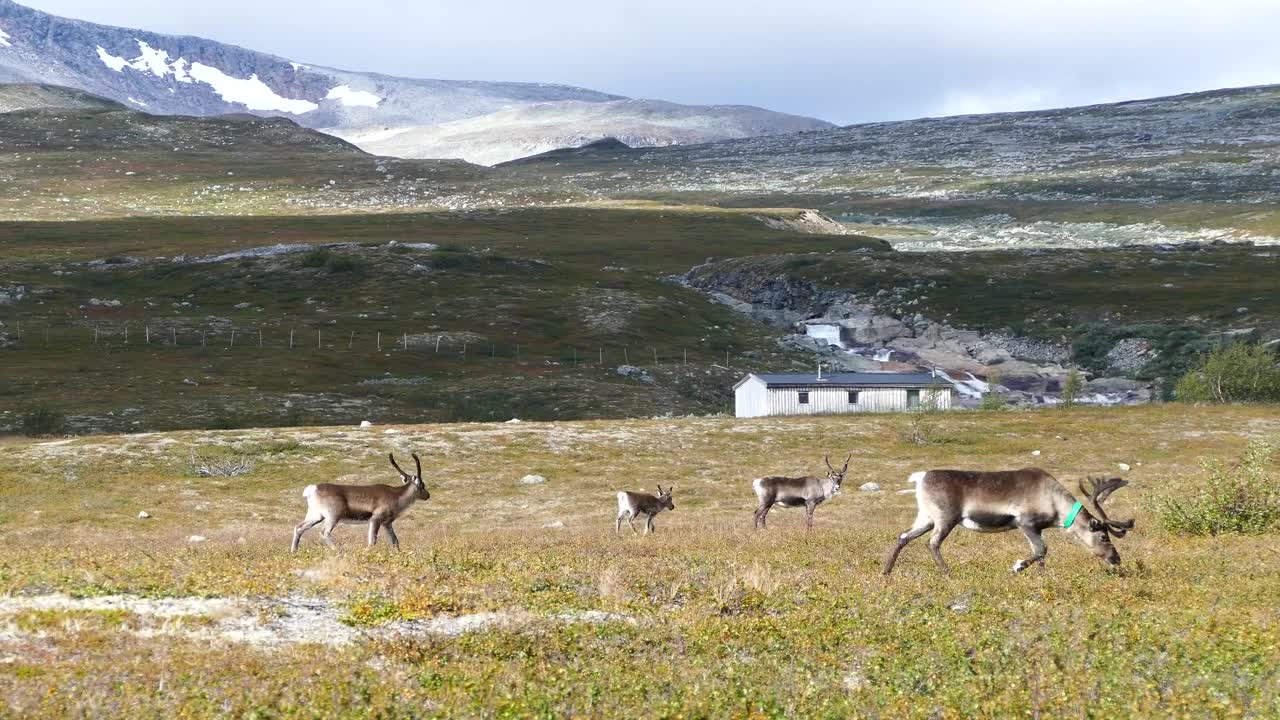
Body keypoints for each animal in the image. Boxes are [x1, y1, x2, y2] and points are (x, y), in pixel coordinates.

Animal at [290, 452, 430, 552]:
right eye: (423, 485)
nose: (428, 495)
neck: (397, 496)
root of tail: (313, 489)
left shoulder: (387, 523)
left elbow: (395, 541)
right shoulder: (376, 519)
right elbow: (372, 541)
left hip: (316, 515)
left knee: (299, 527)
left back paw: (294, 552)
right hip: (333, 516)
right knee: (324, 532)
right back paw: (339, 551)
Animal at [882, 469, 1135, 575]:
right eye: (1103, 536)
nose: (1116, 559)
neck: (1055, 503)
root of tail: (920, 477)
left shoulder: (1037, 528)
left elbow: (1041, 554)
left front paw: (1042, 575)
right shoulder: (1026, 522)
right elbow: (1041, 550)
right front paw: (1018, 566)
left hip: (926, 517)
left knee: (903, 536)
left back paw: (886, 571)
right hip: (945, 518)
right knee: (932, 543)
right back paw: (948, 572)